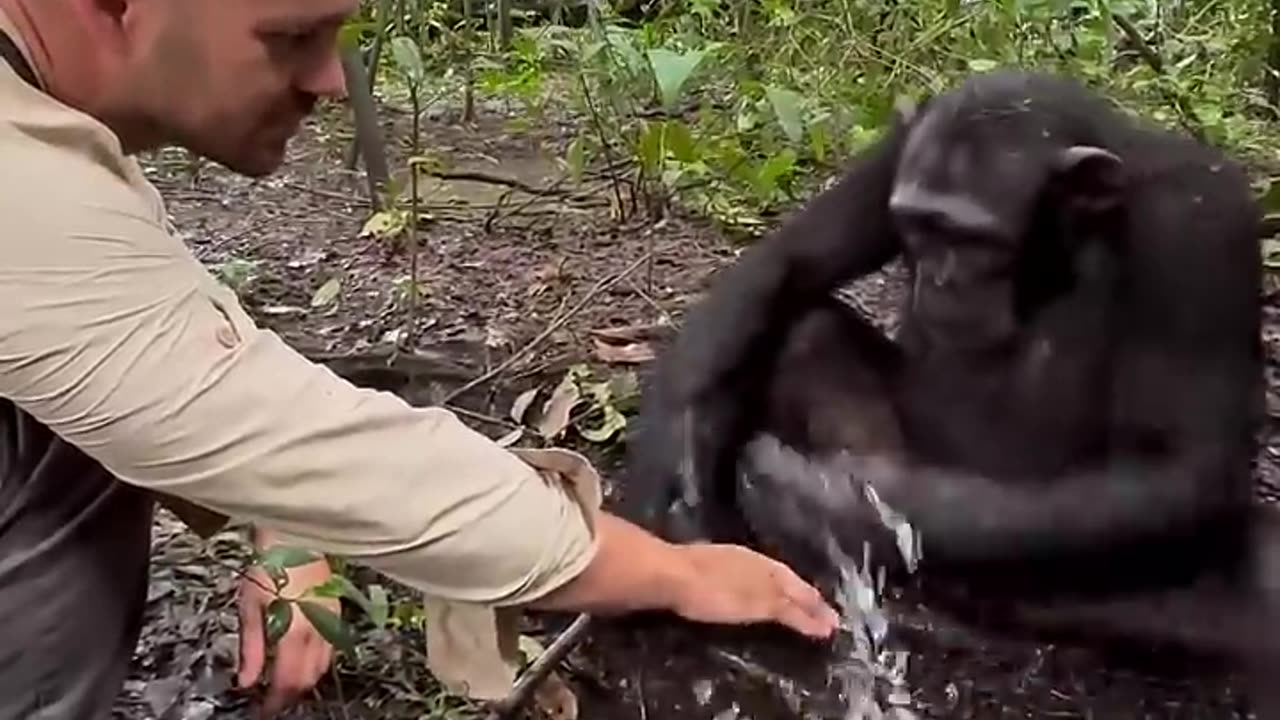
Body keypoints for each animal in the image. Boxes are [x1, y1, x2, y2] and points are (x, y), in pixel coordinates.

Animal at [616, 68, 1269, 671]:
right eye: (919, 227)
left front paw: (825, 507)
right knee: (810, 334)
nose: (940, 278)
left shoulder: (1205, 226)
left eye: (976, 241)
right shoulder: (896, 153)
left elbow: (1180, 467)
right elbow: (792, 259)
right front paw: (679, 472)